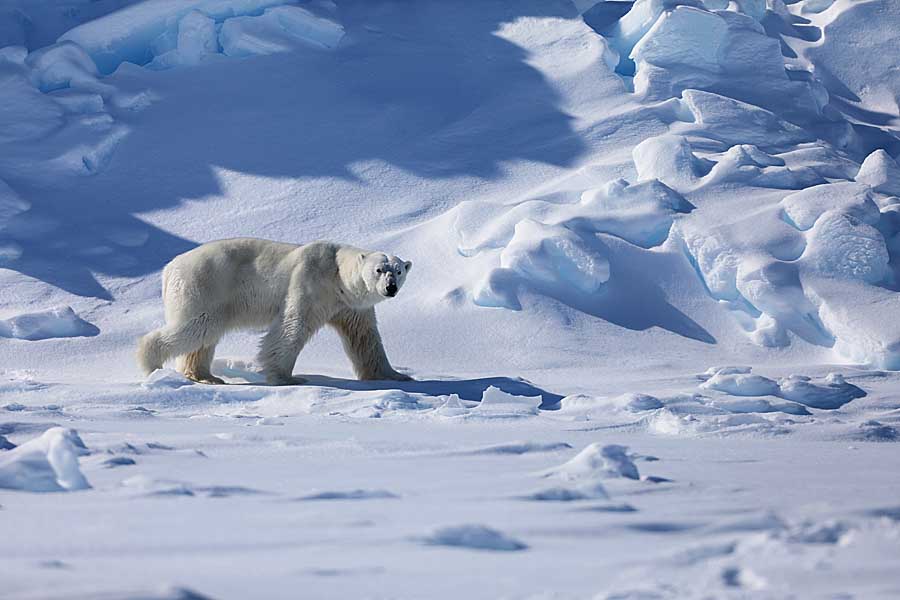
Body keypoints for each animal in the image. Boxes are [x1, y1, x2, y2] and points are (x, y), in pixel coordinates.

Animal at [137, 238, 414, 384]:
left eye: (399, 270)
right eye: (379, 269)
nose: (390, 287)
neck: (336, 275)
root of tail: (169, 268)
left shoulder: (352, 306)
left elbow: (365, 338)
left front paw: (395, 376)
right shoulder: (309, 282)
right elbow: (292, 326)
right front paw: (286, 377)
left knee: (204, 336)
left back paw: (205, 375)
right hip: (204, 284)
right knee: (196, 326)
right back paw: (151, 363)